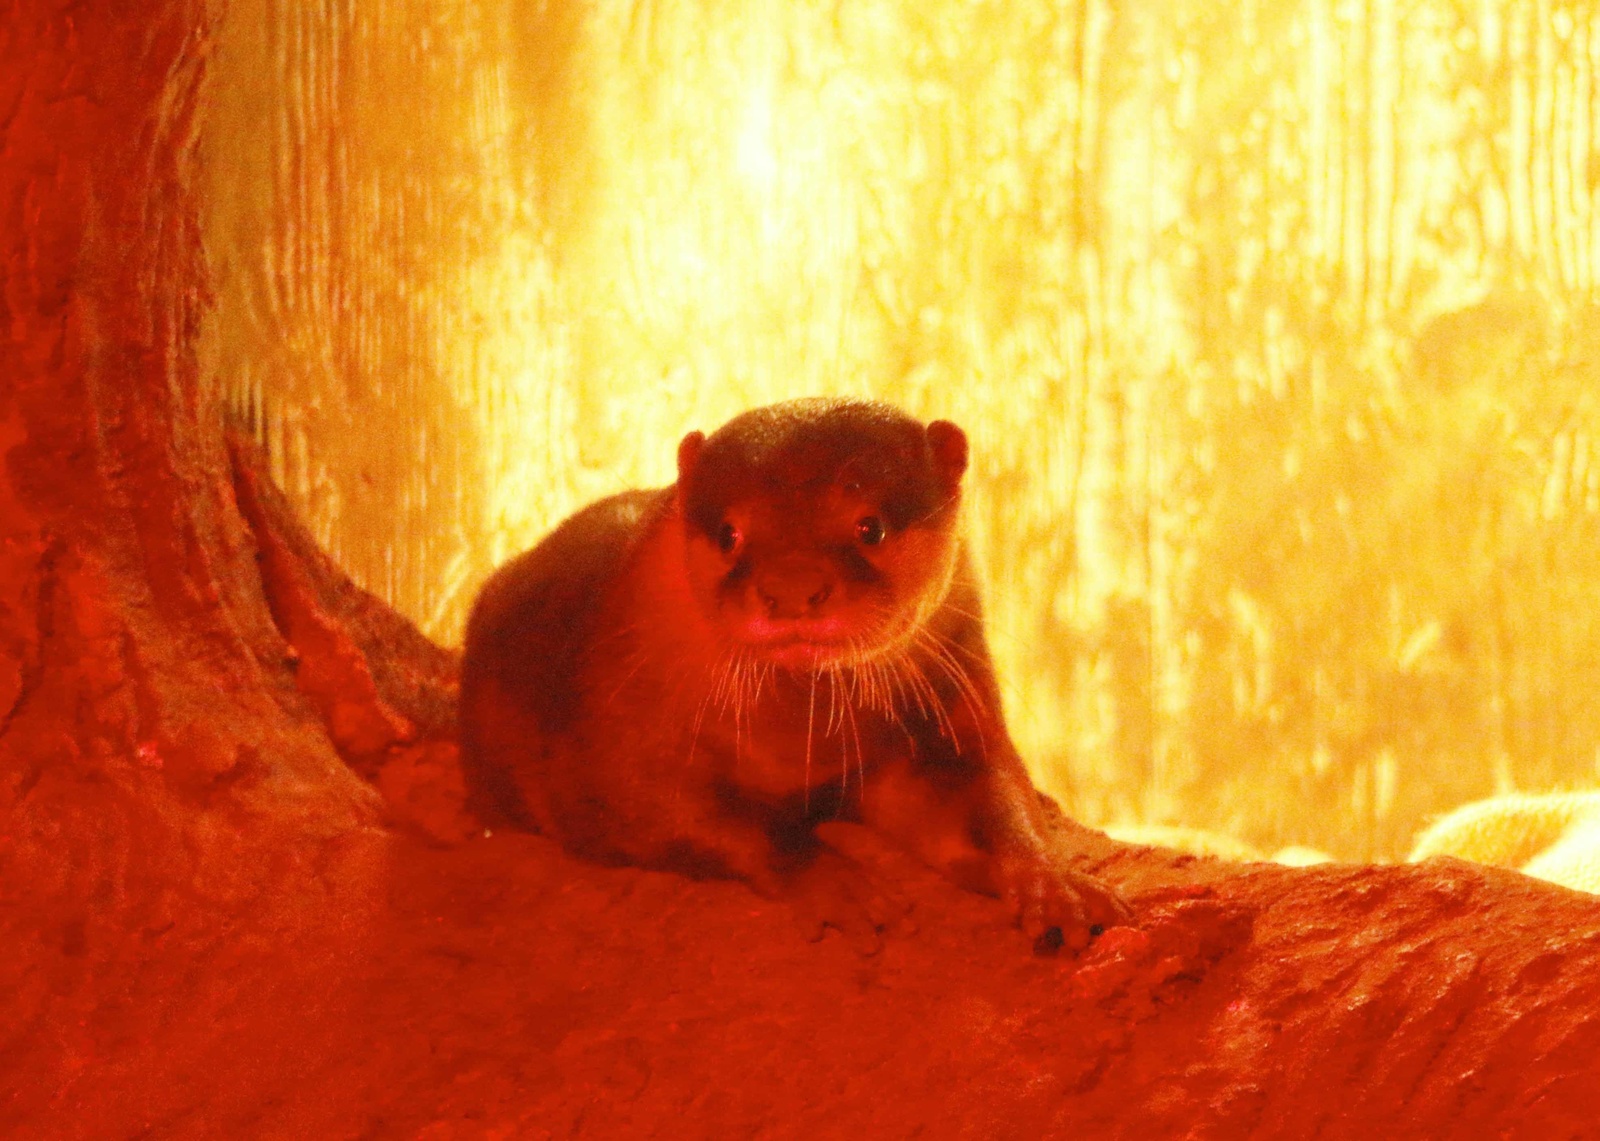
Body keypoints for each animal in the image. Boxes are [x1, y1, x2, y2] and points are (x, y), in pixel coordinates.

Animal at [459, 398, 1128, 948]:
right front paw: (837, 884)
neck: (800, 747)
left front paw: (1052, 884)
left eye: (870, 526)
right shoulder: (613, 750)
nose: (791, 586)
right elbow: (711, 819)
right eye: (729, 533)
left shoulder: (943, 710)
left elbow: (986, 796)